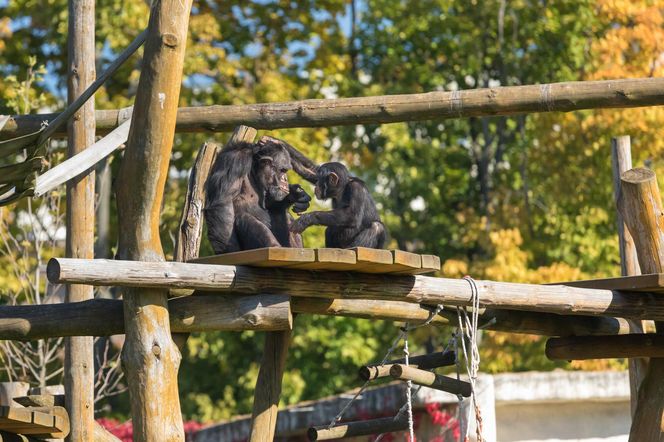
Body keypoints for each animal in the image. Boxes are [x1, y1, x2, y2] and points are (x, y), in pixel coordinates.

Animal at [258, 135, 386, 249]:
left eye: (320, 180)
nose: (317, 186)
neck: (342, 190)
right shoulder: (316, 172)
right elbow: (311, 169)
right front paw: (273, 140)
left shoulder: (356, 189)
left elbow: (352, 214)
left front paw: (307, 219)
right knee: (329, 230)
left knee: (376, 227)